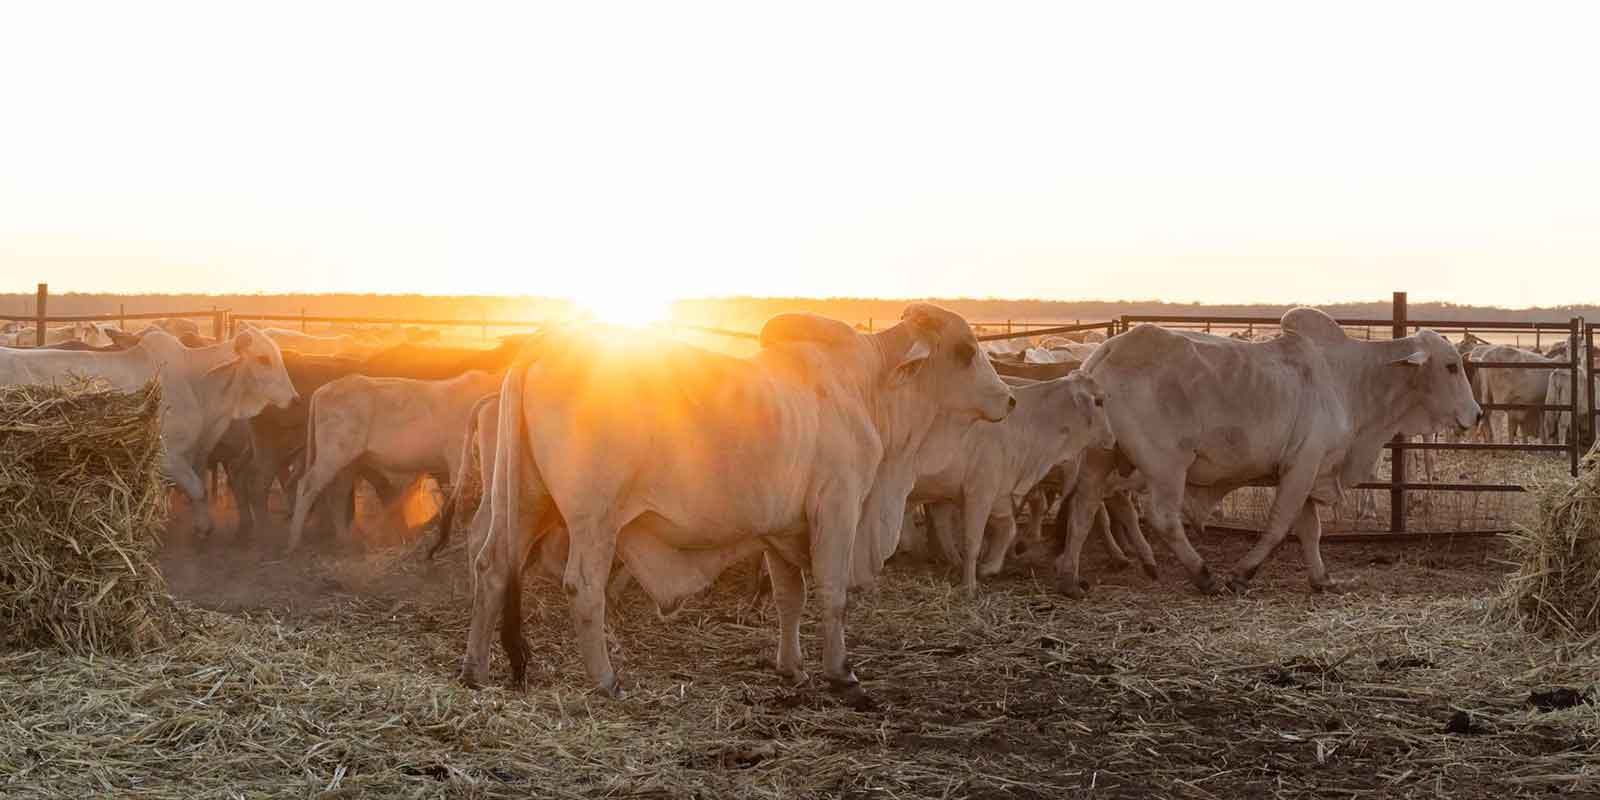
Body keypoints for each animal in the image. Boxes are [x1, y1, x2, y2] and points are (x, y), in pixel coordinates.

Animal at [0, 328, 297, 537]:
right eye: (262, 358)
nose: (294, 399)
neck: (197, 384)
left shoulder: (196, 453)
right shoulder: (168, 458)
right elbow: (198, 489)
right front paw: (203, 528)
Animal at [286, 369, 505, 551]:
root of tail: (323, 389)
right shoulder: (457, 455)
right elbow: (458, 492)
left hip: (348, 462)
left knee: (337, 493)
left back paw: (346, 541)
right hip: (333, 454)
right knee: (307, 486)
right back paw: (294, 541)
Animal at [463, 305, 1014, 703]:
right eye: (966, 351)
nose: (1009, 399)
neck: (870, 385)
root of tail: (542, 345)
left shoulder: (782, 527)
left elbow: (790, 598)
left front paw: (791, 669)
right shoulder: (837, 508)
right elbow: (832, 593)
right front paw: (841, 673)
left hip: (525, 502)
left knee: (492, 567)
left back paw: (475, 671)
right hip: (593, 519)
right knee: (583, 586)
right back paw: (606, 681)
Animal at [1054, 308, 1480, 598]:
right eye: (1451, 366)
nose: (1476, 414)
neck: (1350, 379)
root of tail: (1106, 351)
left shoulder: (1312, 470)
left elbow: (1310, 530)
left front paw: (1322, 579)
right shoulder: (1301, 466)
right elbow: (1280, 526)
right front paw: (1242, 573)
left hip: (1101, 458)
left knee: (1085, 508)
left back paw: (1070, 577)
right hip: (1166, 465)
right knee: (1161, 517)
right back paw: (1203, 575)